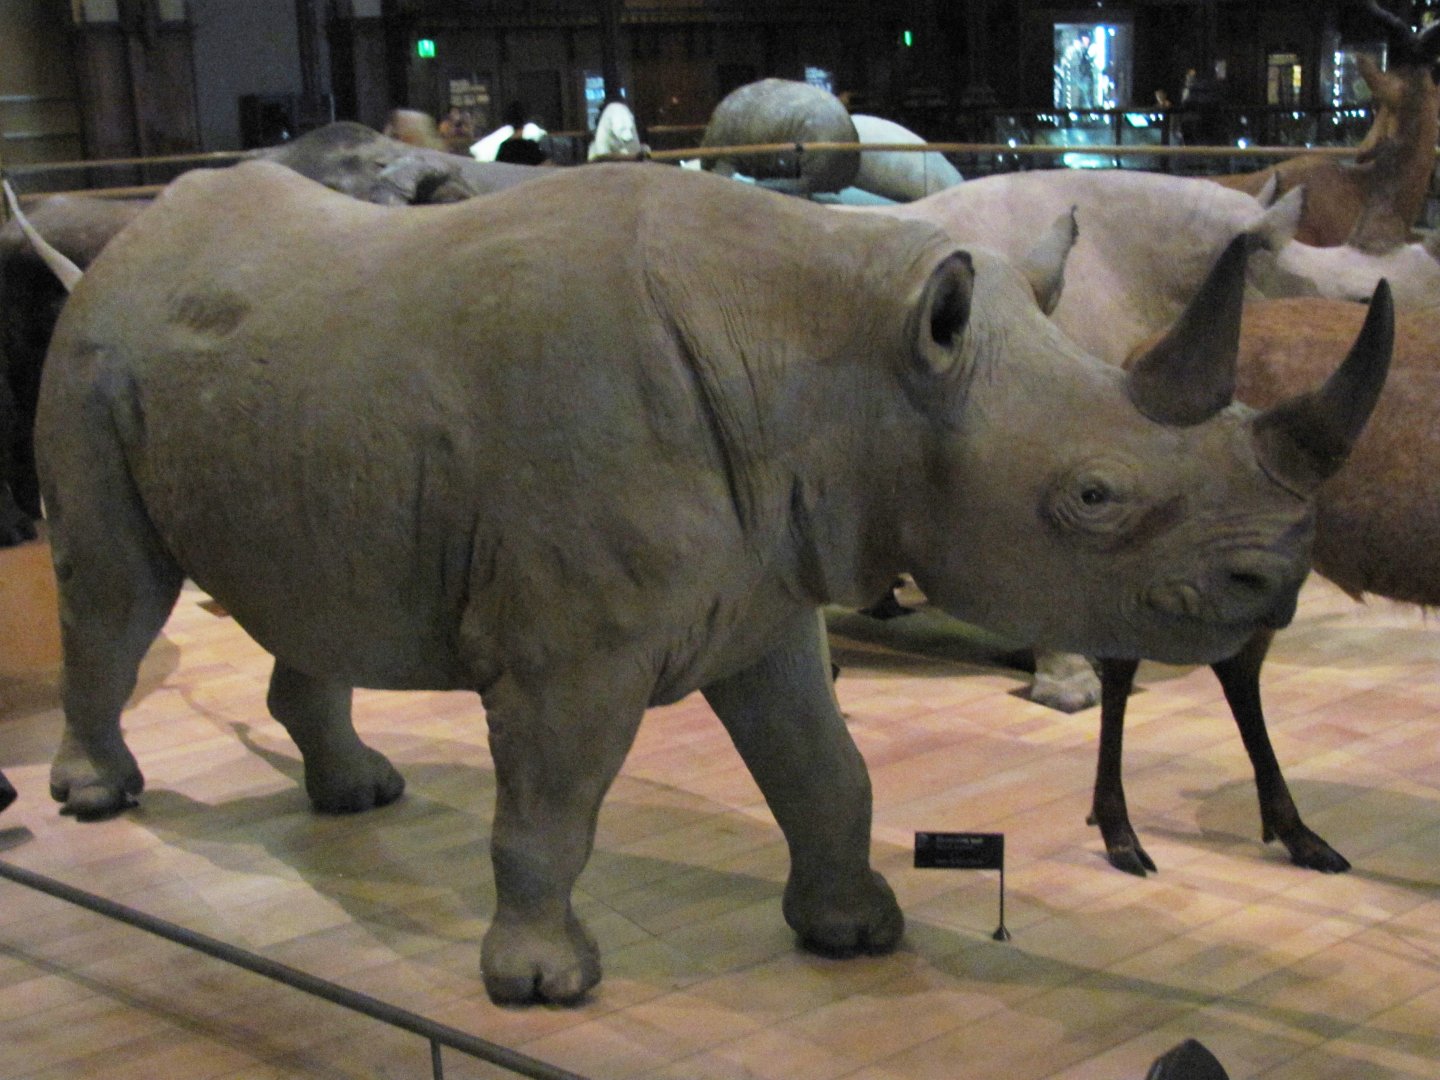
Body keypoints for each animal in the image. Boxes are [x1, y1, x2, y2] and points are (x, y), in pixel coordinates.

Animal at [33, 161, 1388, 1005]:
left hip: (290, 378)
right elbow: (554, 804)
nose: (1278, 578)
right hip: (93, 355)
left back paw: (359, 797)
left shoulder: (770, 588)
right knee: (116, 593)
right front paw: (542, 986)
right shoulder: (573, 650)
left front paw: (857, 933)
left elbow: (825, 768)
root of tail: (114, 246)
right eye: (1094, 497)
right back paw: (100, 803)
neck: (852, 354)